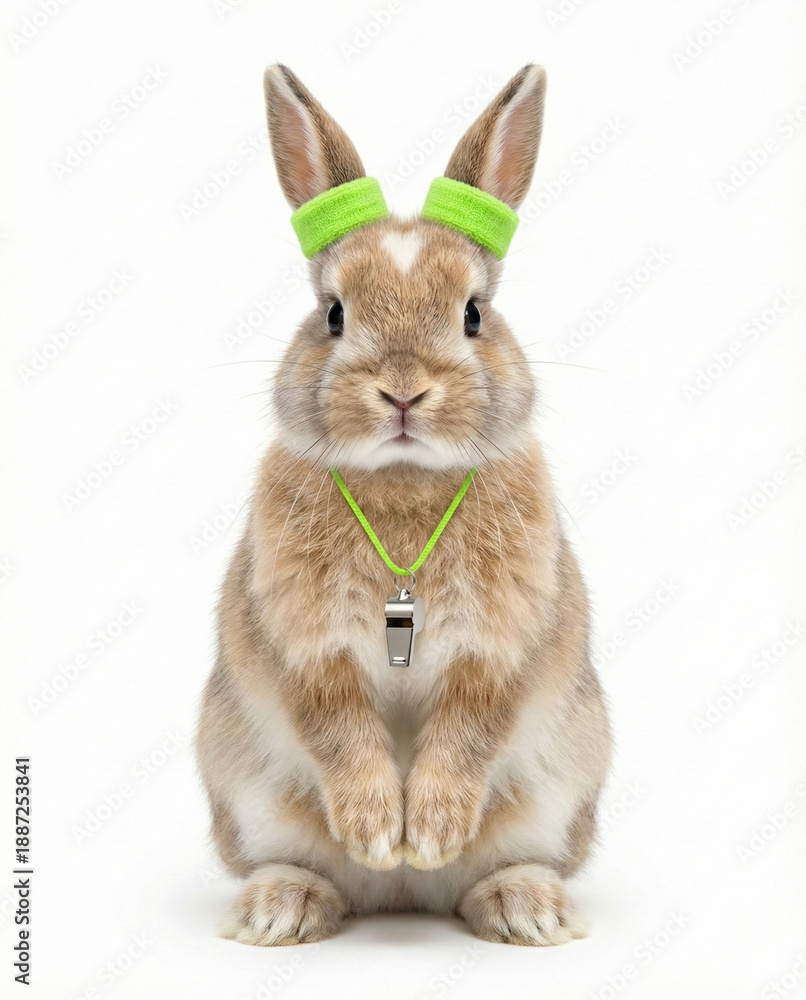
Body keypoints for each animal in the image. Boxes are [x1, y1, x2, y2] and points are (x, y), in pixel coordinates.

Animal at [195, 63, 612, 948]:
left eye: (474, 314)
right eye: (333, 314)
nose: (402, 390)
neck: (405, 487)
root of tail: (402, 904)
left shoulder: (501, 652)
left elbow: (468, 732)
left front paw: (430, 832)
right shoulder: (305, 651)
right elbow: (339, 731)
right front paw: (380, 832)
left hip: (560, 786)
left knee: (499, 867)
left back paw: (521, 907)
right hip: (247, 787)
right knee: (303, 865)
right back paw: (287, 906)